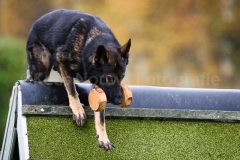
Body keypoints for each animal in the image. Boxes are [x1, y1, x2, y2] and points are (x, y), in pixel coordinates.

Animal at [25, 9, 131, 151]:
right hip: (41, 68)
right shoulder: (61, 61)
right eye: (109, 78)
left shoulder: (99, 88)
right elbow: (72, 90)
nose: (119, 100)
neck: (88, 43)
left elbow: (101, 117)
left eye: (122, 77)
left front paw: (103, 138)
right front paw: (78, 110)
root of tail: (35, 23)